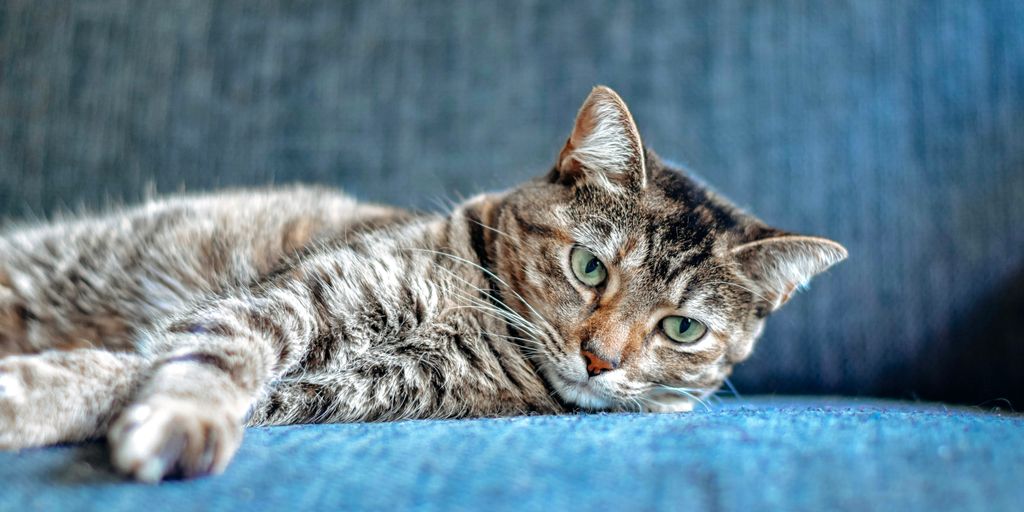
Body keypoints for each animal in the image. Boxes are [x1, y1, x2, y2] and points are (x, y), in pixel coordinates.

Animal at [0, 86, 847, 481]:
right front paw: (184, 418)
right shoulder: (291, 300)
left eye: (682, 329)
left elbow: (127, 371)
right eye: (589, 267)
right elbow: (215, 354)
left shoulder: (340, 393)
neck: (477, 326)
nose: (600, 359)